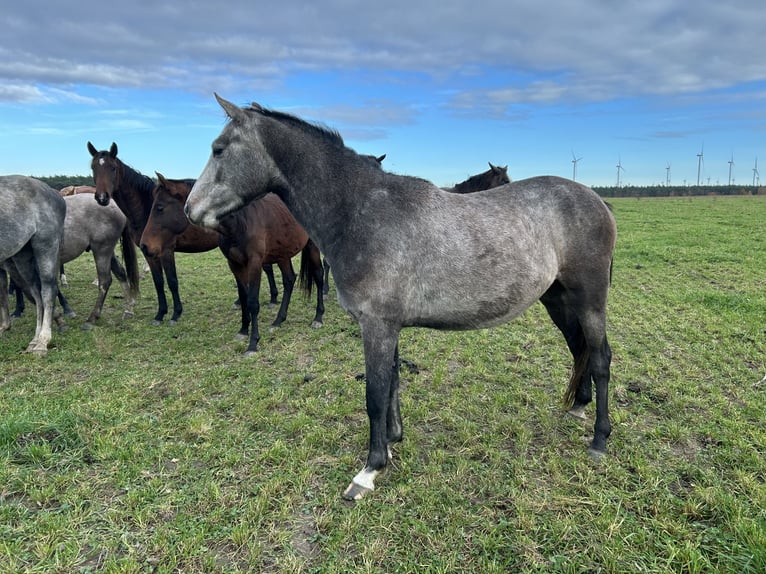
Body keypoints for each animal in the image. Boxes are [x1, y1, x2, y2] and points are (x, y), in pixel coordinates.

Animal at [0, 175, 66, 355]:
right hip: (23, 257)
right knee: (36, 292)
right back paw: (35, 339)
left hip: (45, 246)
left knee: (48, 290)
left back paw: (43, 341)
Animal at [57, 193, 140, 329]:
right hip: (108, 251)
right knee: (121, 273)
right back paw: (129, 310)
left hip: (101, 250)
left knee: (105, 281)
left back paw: (92, 319)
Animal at [88, 142, 239, 325]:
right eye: (94, 167)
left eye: (113, 168)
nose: (102, 197)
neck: (146, 208)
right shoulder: (149, 252)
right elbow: (158, 282)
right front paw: (160, 314)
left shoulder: (166, 250)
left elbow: (172, 281)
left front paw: (176, 314)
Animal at [141, 175, 325, 356]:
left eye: (159, 207)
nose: (144, 246)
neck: (240, 222)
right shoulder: (235, 264)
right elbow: (243, 297)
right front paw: (243, 331)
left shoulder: (255, 263)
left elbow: (252, 302)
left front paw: (253, 344)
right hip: (283, 253)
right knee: (289, 280)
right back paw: (278, 321)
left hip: (312, 247)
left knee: (318, 276)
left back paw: (318, 318)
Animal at [185, 95, 617, 501]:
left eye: (218, 149)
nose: (191, 210)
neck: (361, 213)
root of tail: (597, 201)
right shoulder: (388, 326)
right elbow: (391, 382)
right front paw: (392, 441)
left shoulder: (377, 326)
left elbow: (375, 395)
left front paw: (369, 470)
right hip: (558, 300)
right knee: (579, 348)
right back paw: (578, 407)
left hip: (590, 299)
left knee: (600, 357)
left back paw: (599, 438)